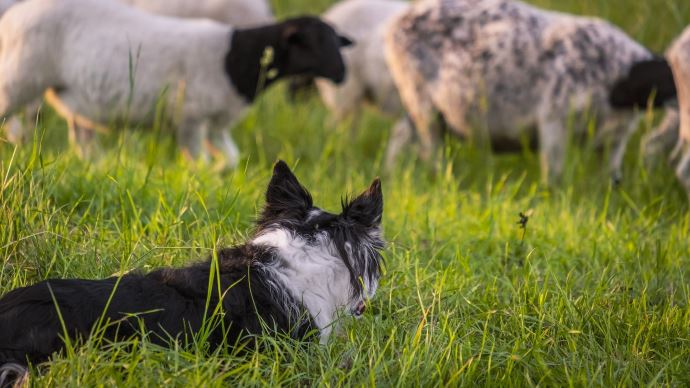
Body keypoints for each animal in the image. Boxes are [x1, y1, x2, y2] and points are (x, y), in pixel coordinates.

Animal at [0, 0, 350, 166]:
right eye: (313, 43)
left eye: (336, 41)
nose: (343, 74)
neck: (236, 59)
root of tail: (14, 13)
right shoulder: (190, 118)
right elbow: (198, 161)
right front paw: (202, 180)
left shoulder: (216, 123)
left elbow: (230, 160)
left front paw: (218, 175)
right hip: (18, 77)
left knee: (81, 140)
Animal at [384, 0, 676, 183]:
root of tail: (397, 21)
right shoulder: (555, 120)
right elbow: (555, 175)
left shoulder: (615, 140)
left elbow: (612, 176)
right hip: (421, 101)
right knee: (430, 150)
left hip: (417, 106)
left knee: (400, 136)